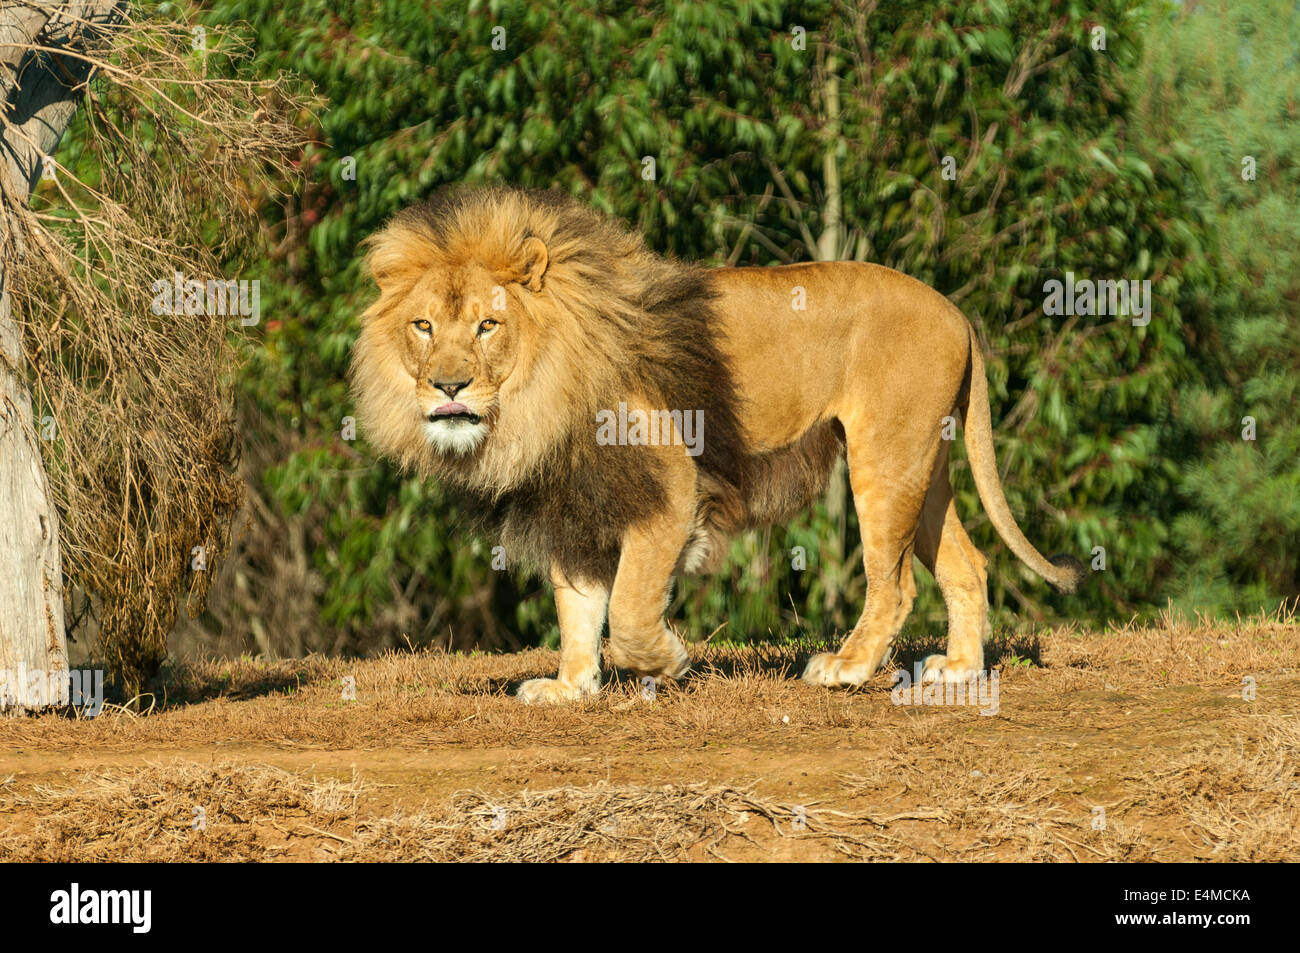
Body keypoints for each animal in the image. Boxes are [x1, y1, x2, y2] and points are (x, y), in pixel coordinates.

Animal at [350, 186, 1084, 703]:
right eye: (422, 326)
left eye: (487, 325)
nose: (448, 386)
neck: (537, 394)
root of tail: (955, 310)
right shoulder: (574, 495)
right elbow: (577, 603)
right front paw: (570, 685)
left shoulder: (670, 484)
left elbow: (630, 606)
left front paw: (668, 660)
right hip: (924, 465)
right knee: (968, 564)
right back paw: (959, 671)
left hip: (886, 455)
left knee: (896, 581)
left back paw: (846, 668)